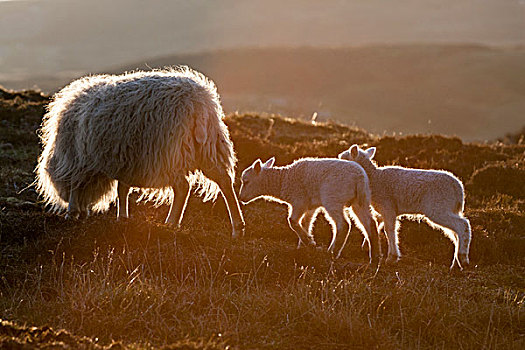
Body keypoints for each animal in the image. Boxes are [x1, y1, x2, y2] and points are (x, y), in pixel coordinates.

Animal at [36, 66, 246, 238]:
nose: (83, 211)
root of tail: (197, 102)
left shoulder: (80, 160)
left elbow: (76, 186)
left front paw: (71, 212)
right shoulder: (125, 162)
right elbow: (122, 190)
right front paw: (122, 217)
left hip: (167, 153)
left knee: (182, 187)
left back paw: (171, 222)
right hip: (209, 148)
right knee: (224, 181)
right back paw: (237, 227)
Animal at [239, 157, 378, 262]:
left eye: (246, 181)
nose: (240, 198)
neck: (283, 180)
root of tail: (359, 177)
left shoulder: (299, 201)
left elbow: (292, 221)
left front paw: (309, 243)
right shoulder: (310, 206)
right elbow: (306, 223)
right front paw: (304, 246)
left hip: (333, 198)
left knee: (343, 224)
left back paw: (332, 252)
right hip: (362, 199)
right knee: (370, 223)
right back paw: (375, 256)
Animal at [338, 144, 472, 268]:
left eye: (344, 158)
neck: (374, 178)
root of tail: (458, 188)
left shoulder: (388, 206)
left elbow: (389, 230)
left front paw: (392, 257)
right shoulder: (384, 209)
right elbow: (378, 226)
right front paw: (367, 245)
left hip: (439, 207)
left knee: (463, 225)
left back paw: (463, 258)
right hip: (448, 207)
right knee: (455, 233)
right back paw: (455, 264)